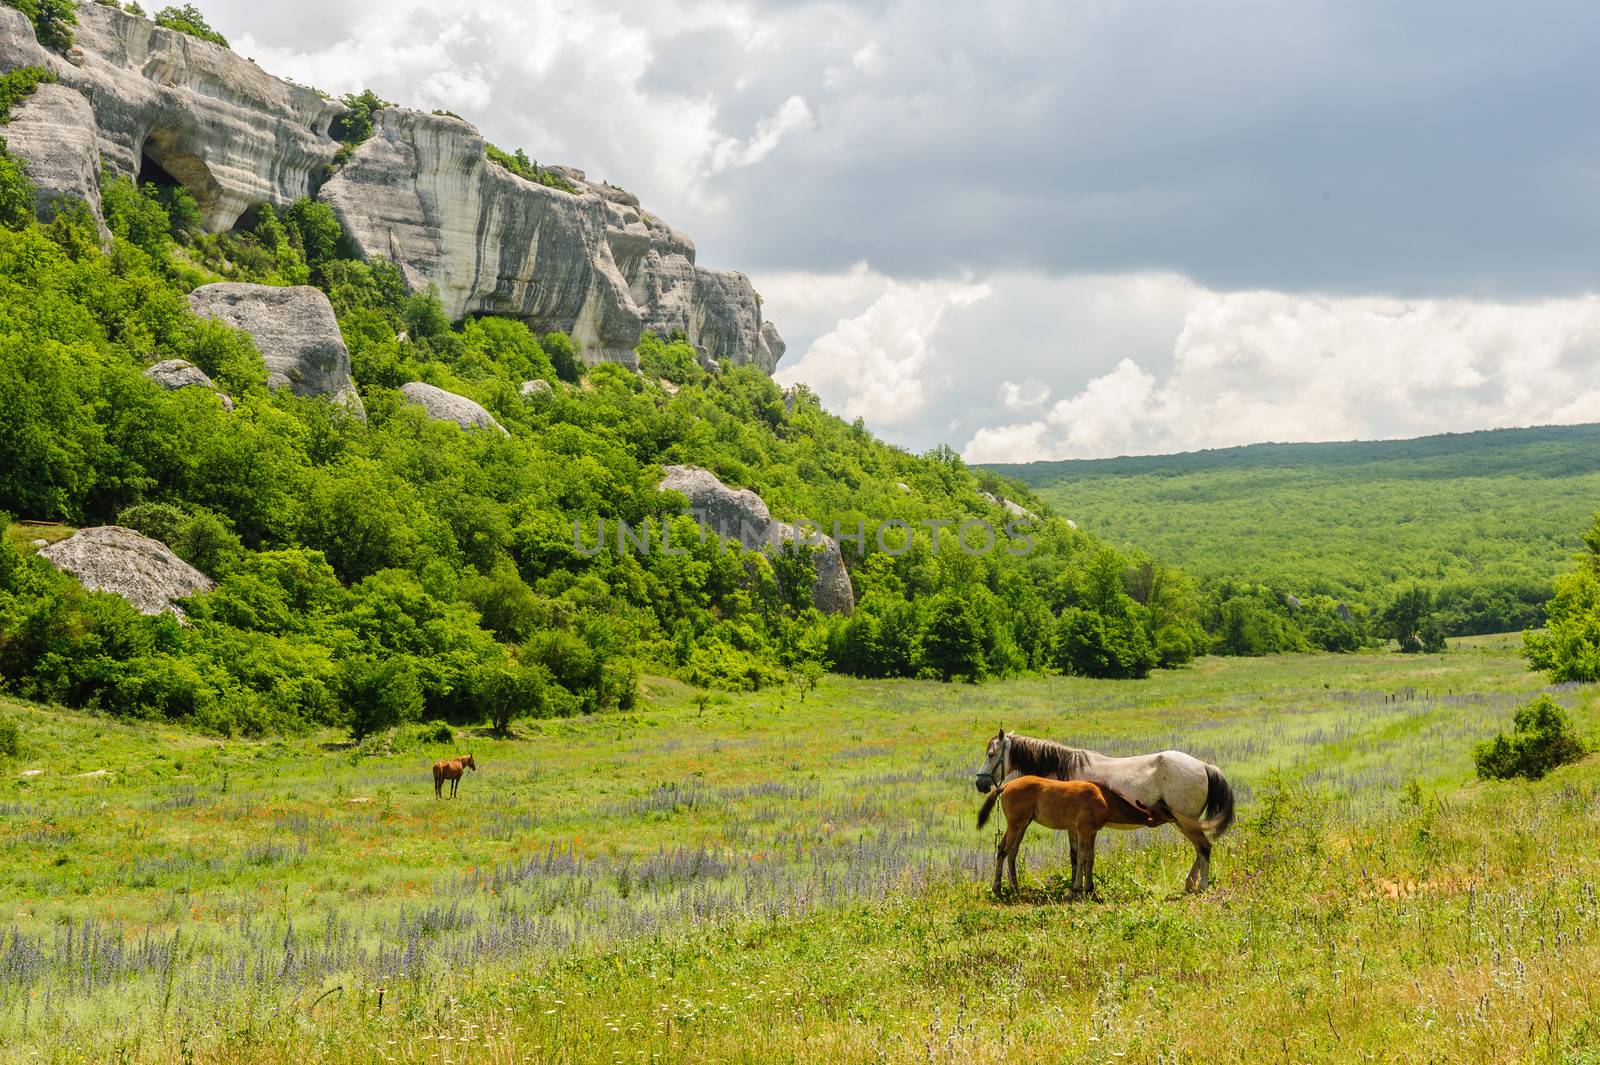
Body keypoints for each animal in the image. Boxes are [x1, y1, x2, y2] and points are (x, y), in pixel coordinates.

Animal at [972, 770, 1164, 895]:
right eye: (1164, 813)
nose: (1172, 818)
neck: (1103, 798)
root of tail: (1006, 785)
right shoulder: (1083, 830)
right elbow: (1081, 857)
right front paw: (1077, 889)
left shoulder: (1090, 832)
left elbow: (1088, 857)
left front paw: (1088, 888)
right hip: (1015, 824)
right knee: (1003, 849)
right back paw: (997, 888)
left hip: (1023, 824)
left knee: (1012, 852)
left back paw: (1015, 887)